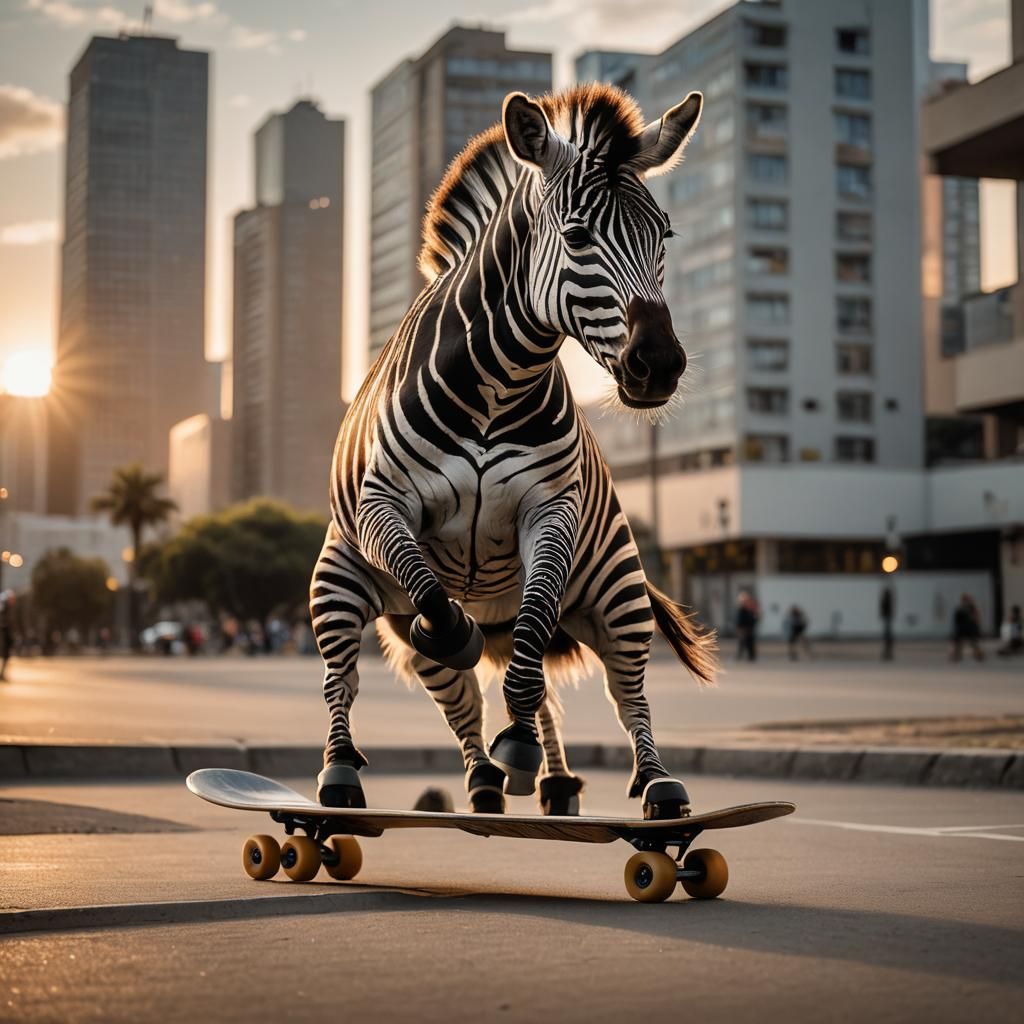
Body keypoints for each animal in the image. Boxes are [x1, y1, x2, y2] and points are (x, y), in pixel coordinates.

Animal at [311, 83, 717, 820]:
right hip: (342, 581)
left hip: (616, 588)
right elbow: (443, 620)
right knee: (367, 681)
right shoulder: (386, 510)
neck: (498, 384)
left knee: (624, 689)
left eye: (664, 235)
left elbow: (530, 657)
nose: (660, 366)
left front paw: (523, 747)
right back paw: (363, 772)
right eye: (577, 236)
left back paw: (640, 781)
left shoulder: (550, 515)